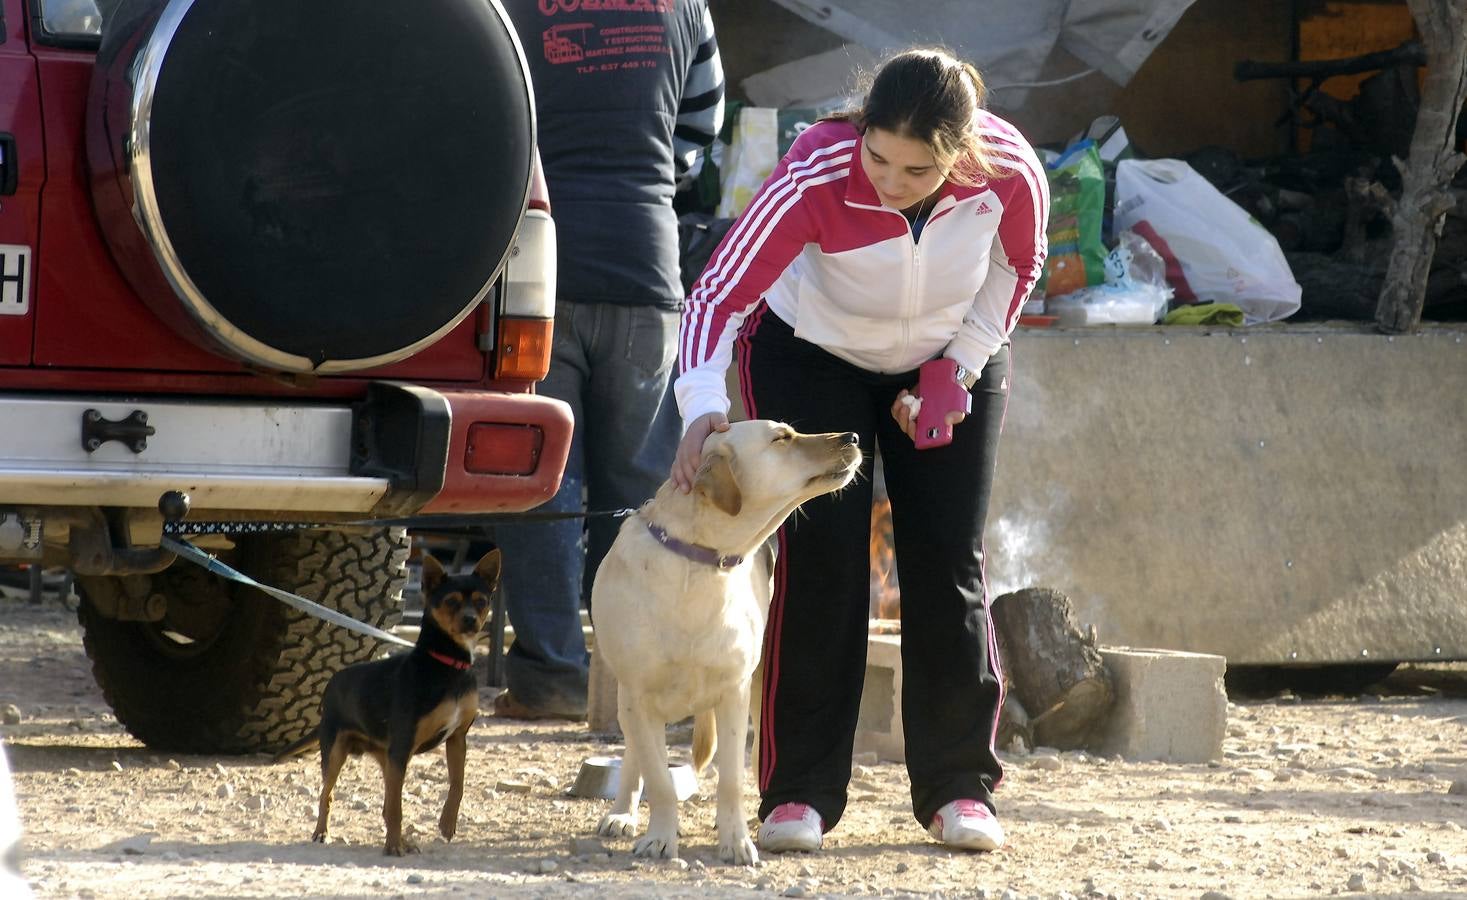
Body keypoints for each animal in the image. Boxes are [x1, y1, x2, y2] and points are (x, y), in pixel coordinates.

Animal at [277, 543, 501, 851]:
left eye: (480, 601)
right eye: (452, 602)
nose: (470, 620)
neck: (449, 665)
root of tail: (332, 683)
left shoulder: (456, 739)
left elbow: (457, 785)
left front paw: (447, 823)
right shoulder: (403, 745)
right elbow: (397, 808)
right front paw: (394, 847)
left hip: (387, 758)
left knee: (386, 802)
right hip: (336, 752)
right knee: (328, 795)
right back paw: (323, 832)